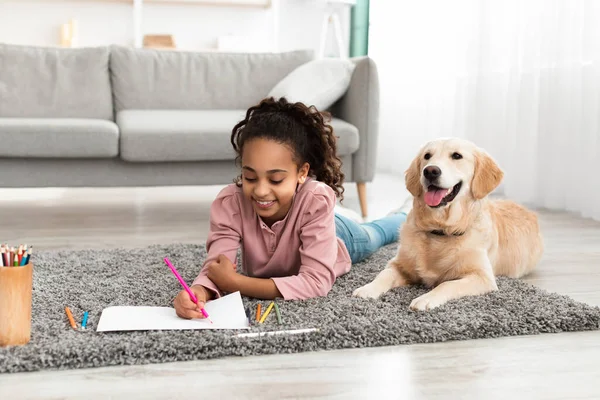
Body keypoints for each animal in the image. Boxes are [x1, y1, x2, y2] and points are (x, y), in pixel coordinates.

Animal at [352, 139, 544, 310]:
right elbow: (383, 274)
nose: (430, 171)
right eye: (427, 156)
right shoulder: (398, 264)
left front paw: (425, 299)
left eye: (457, 156)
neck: (440, 229)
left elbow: (447, 284)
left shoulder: (482, 277)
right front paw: (367, 289)